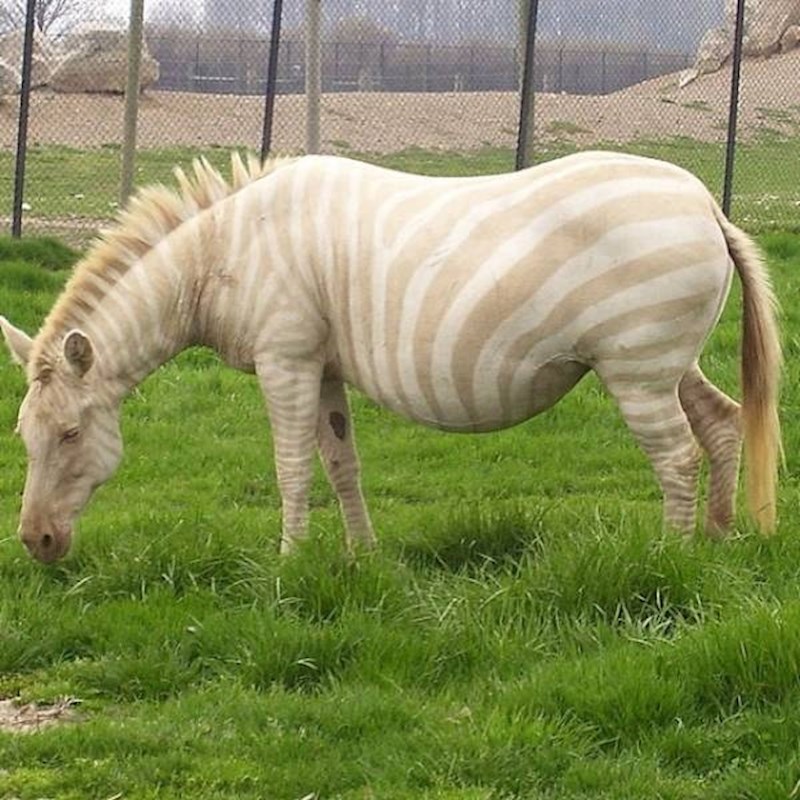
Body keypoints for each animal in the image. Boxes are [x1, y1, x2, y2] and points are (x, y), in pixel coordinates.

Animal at [0, 151, 781, 563]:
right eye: (23, 437)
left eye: (69, 434)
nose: (36, 543)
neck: (220, 256)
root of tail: (705, 203)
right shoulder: (322, 366)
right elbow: (341, 464)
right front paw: (361, 558)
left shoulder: (286, 358)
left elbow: (291, 468)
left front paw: (288, 564)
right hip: (664, 363)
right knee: (721, 423)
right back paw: (717, 542)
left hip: (636, 370)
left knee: (676, 454)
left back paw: (670, 558)